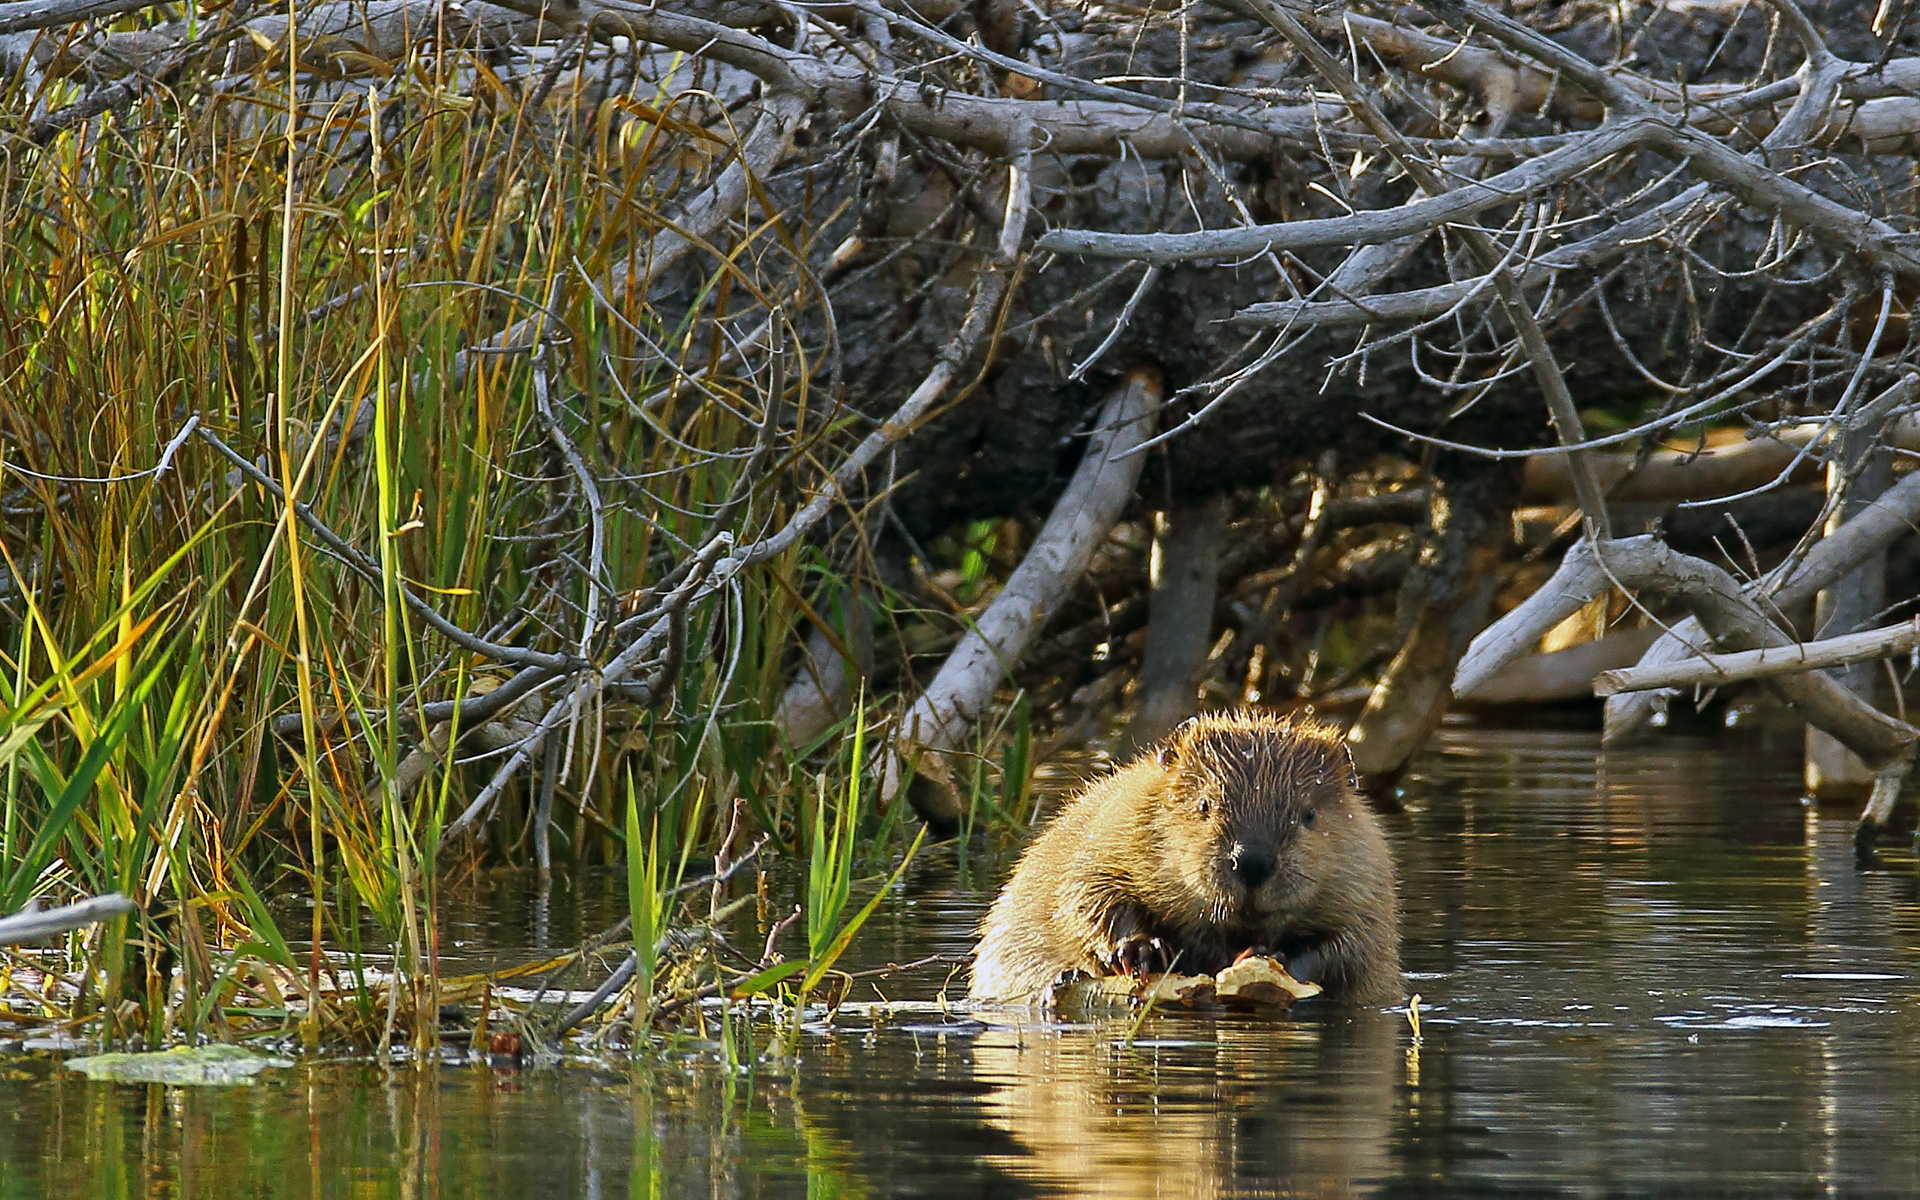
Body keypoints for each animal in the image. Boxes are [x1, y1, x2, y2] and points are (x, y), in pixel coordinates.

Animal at [967, 710, 1405, 998]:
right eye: (1204, 804)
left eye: (1309, 814)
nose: (1251, 861)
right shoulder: (1111, 827)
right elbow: (1084, 894)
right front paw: (1141, 951)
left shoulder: (1369, 877)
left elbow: (1357, 943)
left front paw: (1271, 956)